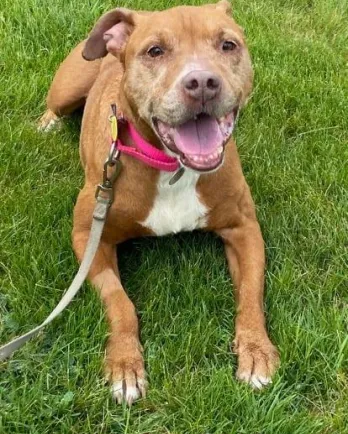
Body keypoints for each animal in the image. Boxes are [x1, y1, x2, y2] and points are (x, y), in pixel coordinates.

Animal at [39, 1, 280, 406]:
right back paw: (45, 123)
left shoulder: (244, 228)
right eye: (154, 51)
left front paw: (256, 351)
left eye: (228, 45)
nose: (202, 82)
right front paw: (124, 364)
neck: (173, 167)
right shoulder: (89, 236)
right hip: (69, 85)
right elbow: (120, 302)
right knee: (53, 105)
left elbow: (250, 293)